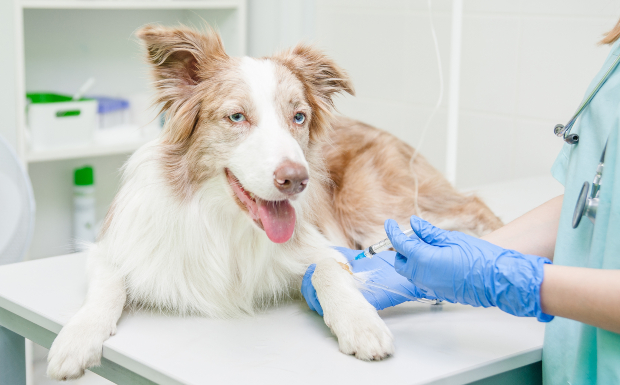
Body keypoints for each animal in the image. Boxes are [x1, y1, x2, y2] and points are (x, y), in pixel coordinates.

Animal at [46, 25, 502, 380]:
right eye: (236, 117)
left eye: (298, 117)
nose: (297, 180)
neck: (227, 222)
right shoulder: (114, 247)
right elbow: (107, 285)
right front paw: (75, 340)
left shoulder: (322, 244)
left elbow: (328, 269)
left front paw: (361, 323)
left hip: (371, 206)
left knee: (474, 207)